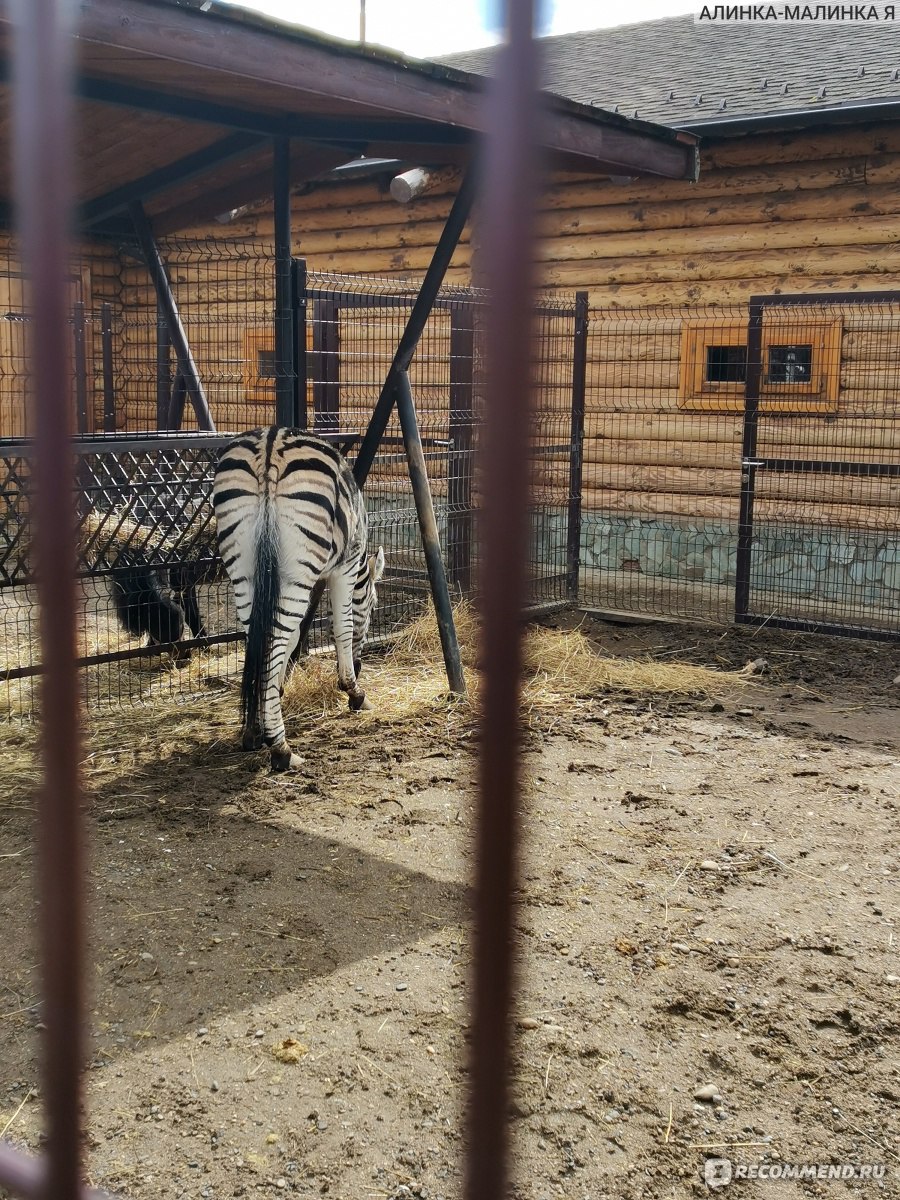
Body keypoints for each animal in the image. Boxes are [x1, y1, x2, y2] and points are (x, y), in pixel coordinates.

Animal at [213, 427, 386, 772]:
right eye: (373, 607)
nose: (361, 667)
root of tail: (269, 446)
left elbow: (293, 639)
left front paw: (274, 694)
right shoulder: (345, 567)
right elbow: (343, 629)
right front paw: (354, 692)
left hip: (243, 564)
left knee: (260, 638)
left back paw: (253, 731)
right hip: (298, 563)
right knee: (275, 638)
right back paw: (280, 748)